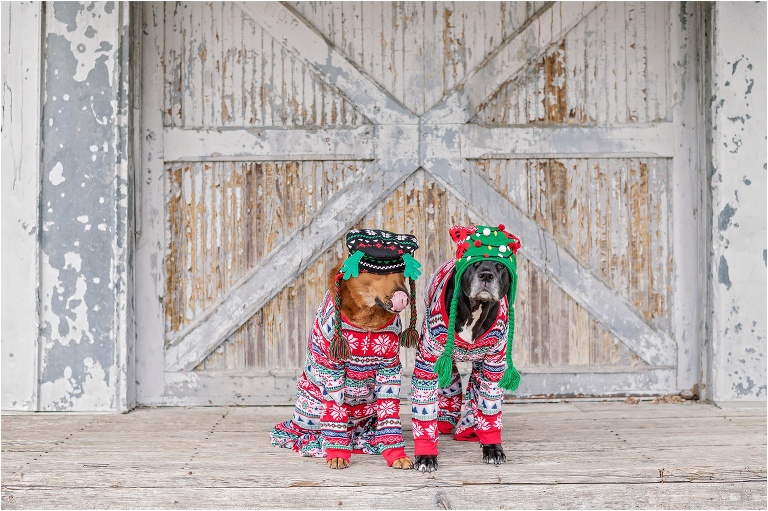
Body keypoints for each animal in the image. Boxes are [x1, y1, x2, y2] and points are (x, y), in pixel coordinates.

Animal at [270, 230, 424, 470]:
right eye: (378, 271)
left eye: (402, 269)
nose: (403, 297)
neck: (368, 321)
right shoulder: (332, 371)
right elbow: (335, 415)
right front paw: (336, 454)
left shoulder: (389, 370)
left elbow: (390, 416)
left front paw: (395, 453)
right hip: (310, 411)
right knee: (306, 433)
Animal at [412, 226, 524, 474]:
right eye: (475, 264)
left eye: (500, 266)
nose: (486, 275)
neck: (476, 309)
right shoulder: (428, 361)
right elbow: (425, 411)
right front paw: (426, 455)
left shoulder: (493, 365)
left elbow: (489, 408)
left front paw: (492, 447)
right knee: (451, 383)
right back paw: (446, 422)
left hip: (481, 367)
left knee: (474, 391)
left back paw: (471, 429)